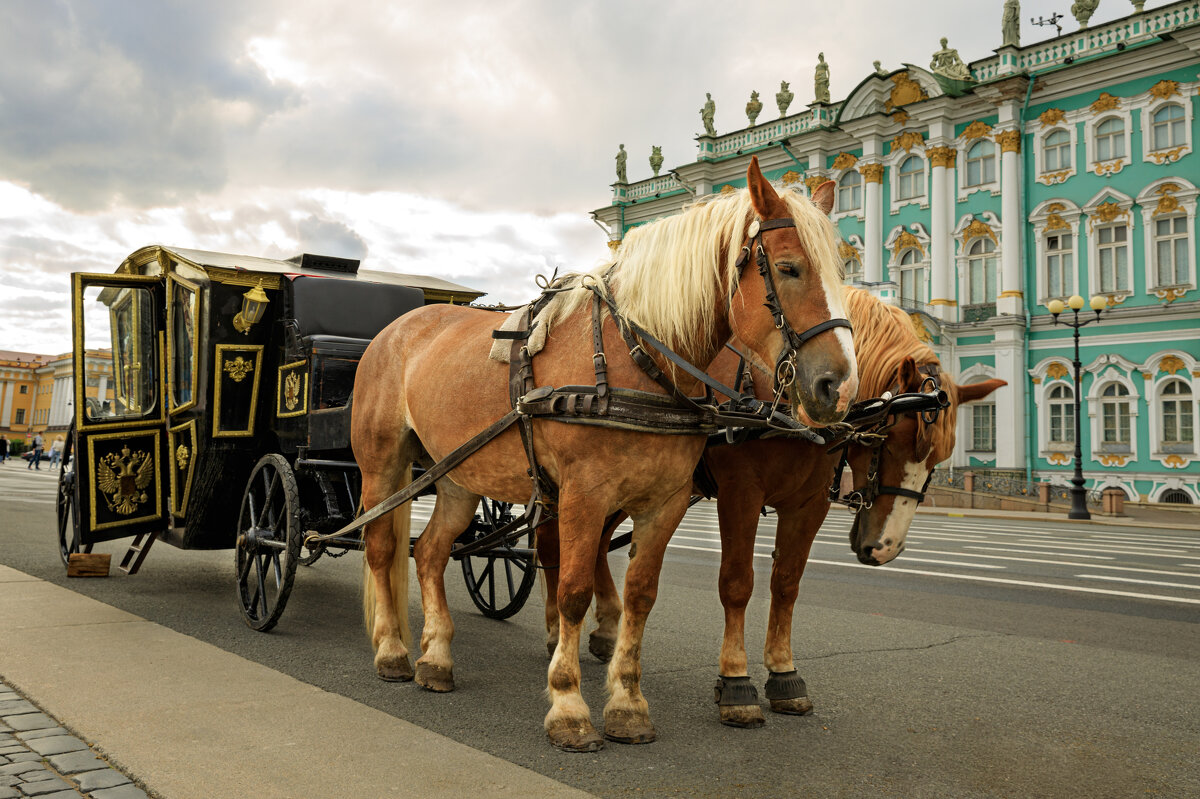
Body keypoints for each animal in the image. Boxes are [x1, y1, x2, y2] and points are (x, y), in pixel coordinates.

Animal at [350, 158, 859, 748]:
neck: (631, 355)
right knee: (381, 547)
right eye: (788, 267)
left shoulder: (665, 503)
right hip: (382, 466)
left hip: (457, 474)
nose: (839, 387)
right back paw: (392, 650)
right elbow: (573, 590)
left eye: (842, 272)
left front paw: (627, 703)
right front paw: (569, 706)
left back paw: (435, 658)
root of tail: (401, 324)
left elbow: (641, 594)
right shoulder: (583, 497)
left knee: (430, 552)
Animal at [542, 287, 1003, 729]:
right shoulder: (740, 493)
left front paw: (784, 674)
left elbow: (786, 584)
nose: (885, 548)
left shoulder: (809, 505)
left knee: (597, 545)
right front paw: (736, 682)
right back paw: (558, 631)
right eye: (888, 441)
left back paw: (605, 629)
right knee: (554, 547)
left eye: (939, 459)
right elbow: (737, 583)